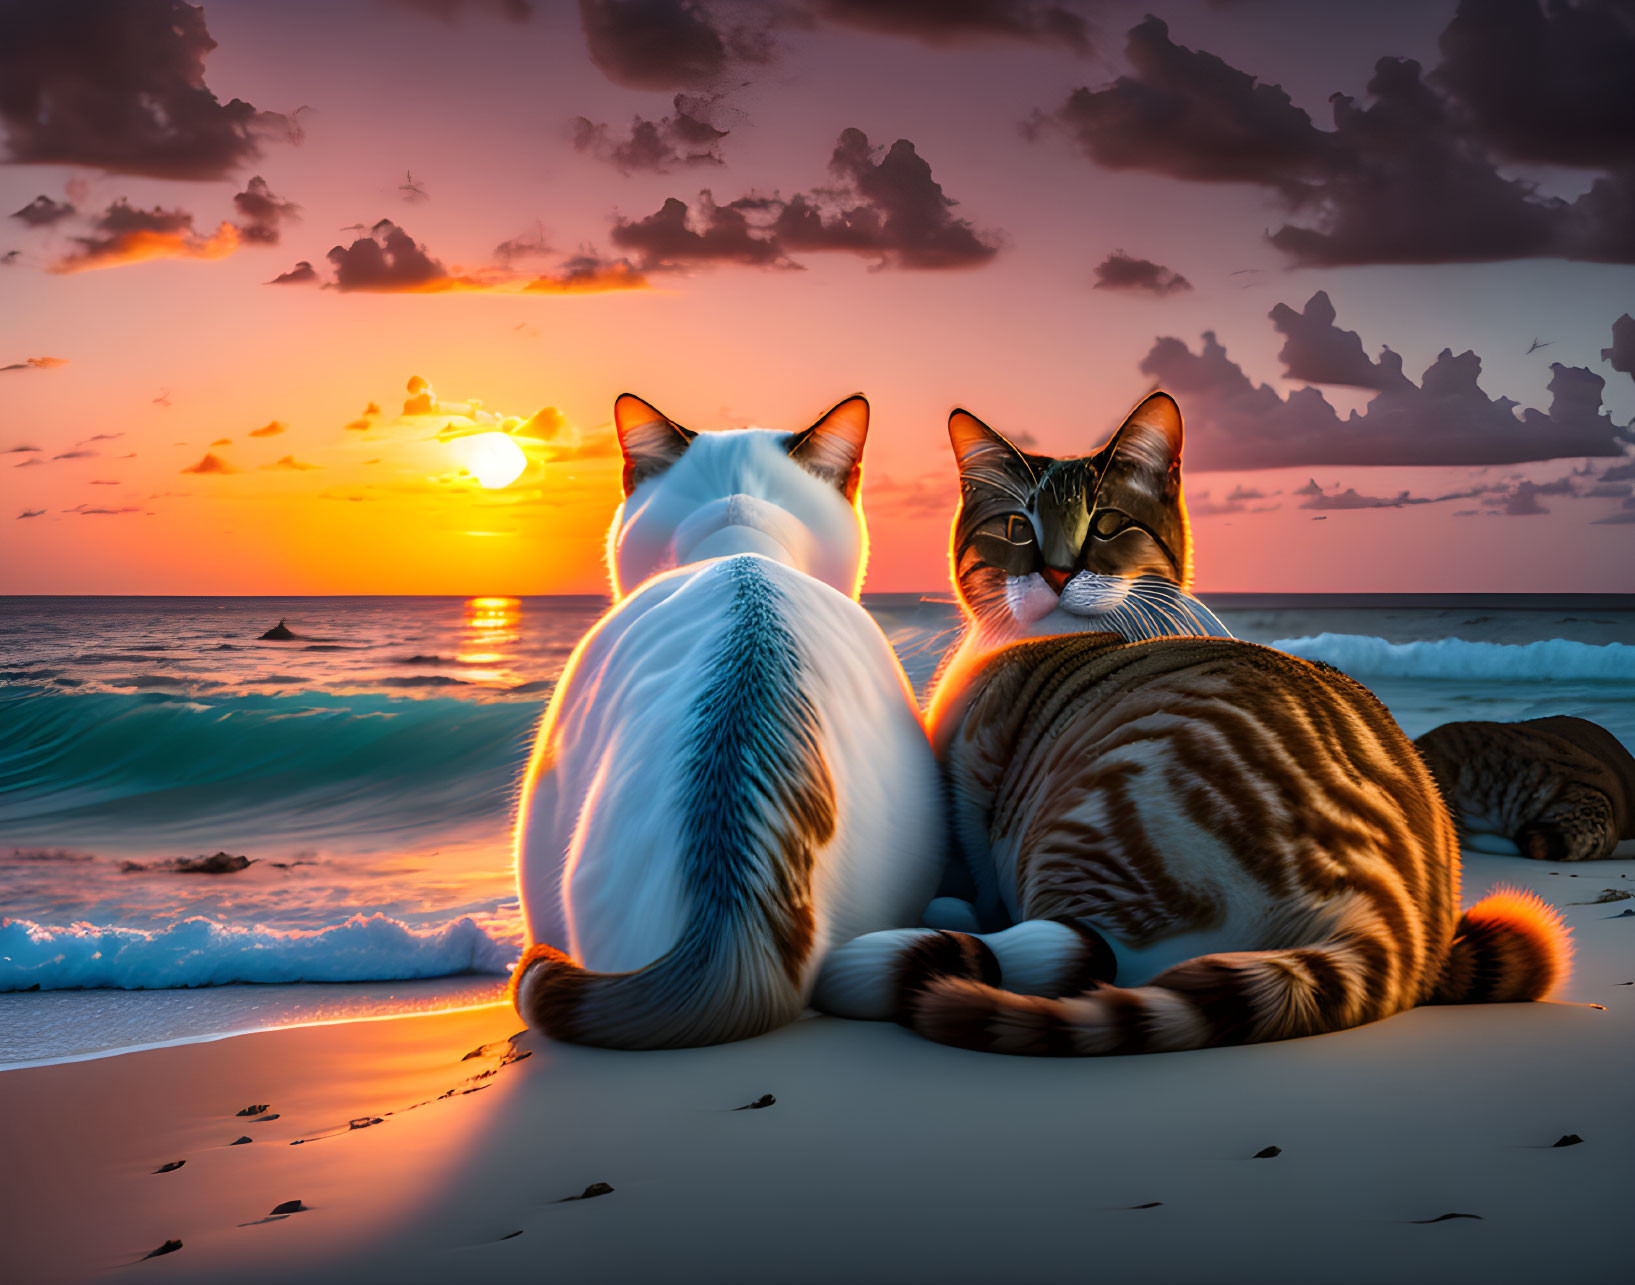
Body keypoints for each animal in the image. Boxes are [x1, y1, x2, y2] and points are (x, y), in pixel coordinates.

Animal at [817, 390, 1569, 1052]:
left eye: (1106, 525)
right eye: (1015, 529)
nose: (1057, 573)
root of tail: (1380, 915)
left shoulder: (970, 783)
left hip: (1099, 805)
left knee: (1081, 947)